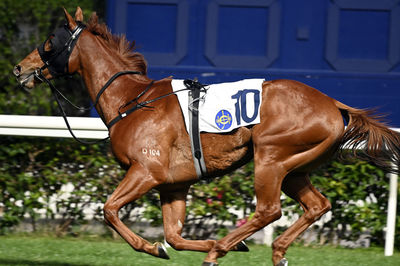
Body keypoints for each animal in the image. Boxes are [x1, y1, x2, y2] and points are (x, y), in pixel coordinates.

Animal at [13, 6, 400, 266]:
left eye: (49, 42)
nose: (19, 68)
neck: (132, 100)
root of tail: (334, 105)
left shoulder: (146, 171)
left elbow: (109, 210)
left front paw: (155, 247)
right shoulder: (173, 184)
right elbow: (173, 235)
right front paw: (177, 245)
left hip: (271, 157)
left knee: (269, 210)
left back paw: (222, 248)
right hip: (295, 168)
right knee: (317, 205)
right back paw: (273, 251)